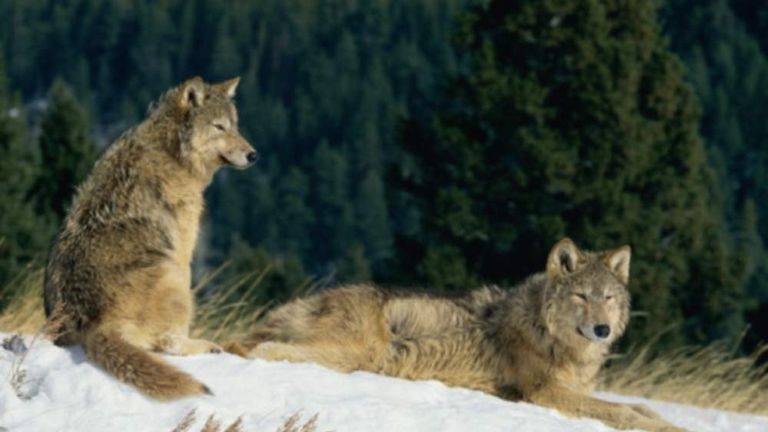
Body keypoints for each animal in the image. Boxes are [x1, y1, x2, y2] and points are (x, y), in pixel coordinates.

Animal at [234, 238, 684, 432]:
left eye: (607, 297)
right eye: (581, 296)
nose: (602, 329)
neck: (548, 333)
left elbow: (640, 408)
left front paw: (668, 421)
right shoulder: (546, 393)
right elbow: (624, 413)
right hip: (360, 355)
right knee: (266, 349)